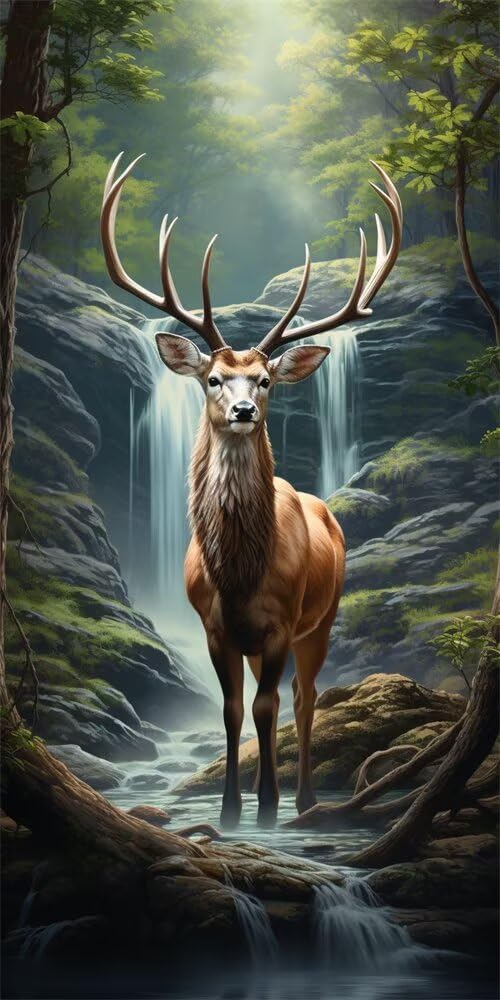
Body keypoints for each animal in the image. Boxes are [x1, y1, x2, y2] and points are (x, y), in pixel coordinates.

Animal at [101, 155, 402, 828]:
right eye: (213, 377)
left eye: (265, 380)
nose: (242, 410)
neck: (239, 574)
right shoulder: (213, 628)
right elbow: (231, 711)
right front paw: (230, 811)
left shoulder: (281, 624)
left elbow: (267, 707)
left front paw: (266, 808)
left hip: (325, 616)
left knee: (307, 696)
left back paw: (307, 798)